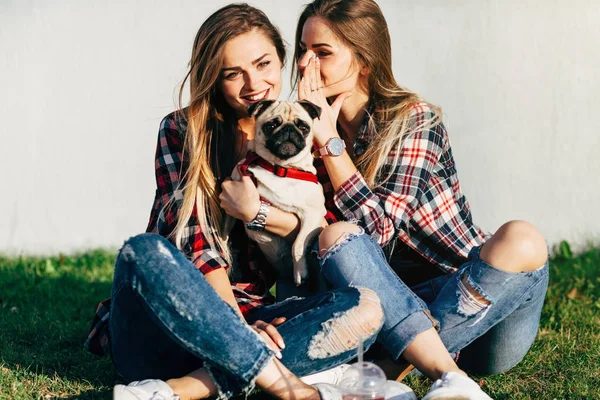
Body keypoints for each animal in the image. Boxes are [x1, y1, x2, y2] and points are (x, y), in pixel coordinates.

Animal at [224, 98, 326, 290]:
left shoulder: (314, 214)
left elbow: (297, 245)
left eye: (303, 127)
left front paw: (300, 271)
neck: (280, 168)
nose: (289, 129)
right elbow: (221, 232)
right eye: (271, 126)